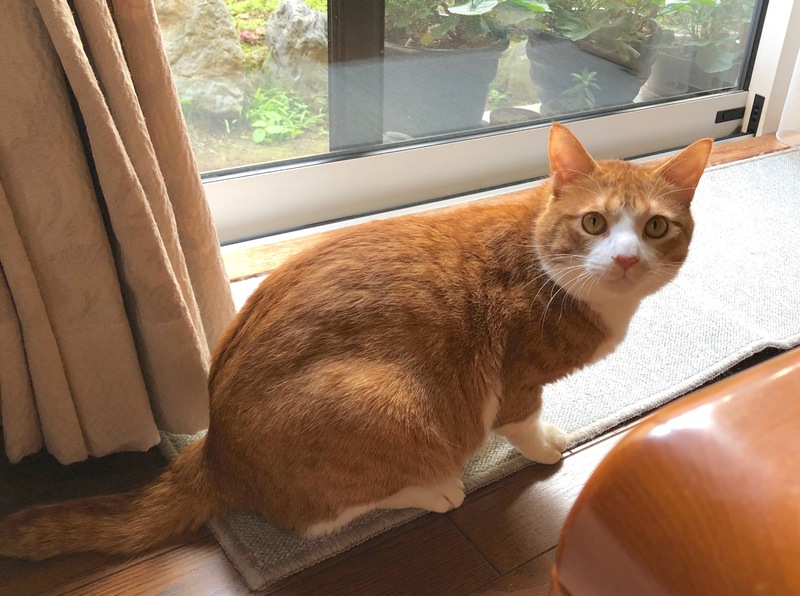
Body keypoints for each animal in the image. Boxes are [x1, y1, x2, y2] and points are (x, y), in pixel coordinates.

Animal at [0, 123, 712, 559]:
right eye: (594, 223)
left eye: (654, 227)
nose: (626, 259)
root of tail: (216, 449)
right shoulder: (514, 382)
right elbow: (526, 425)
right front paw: (543, 448)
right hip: (388, 401)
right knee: (316, 517)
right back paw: (437, 489)